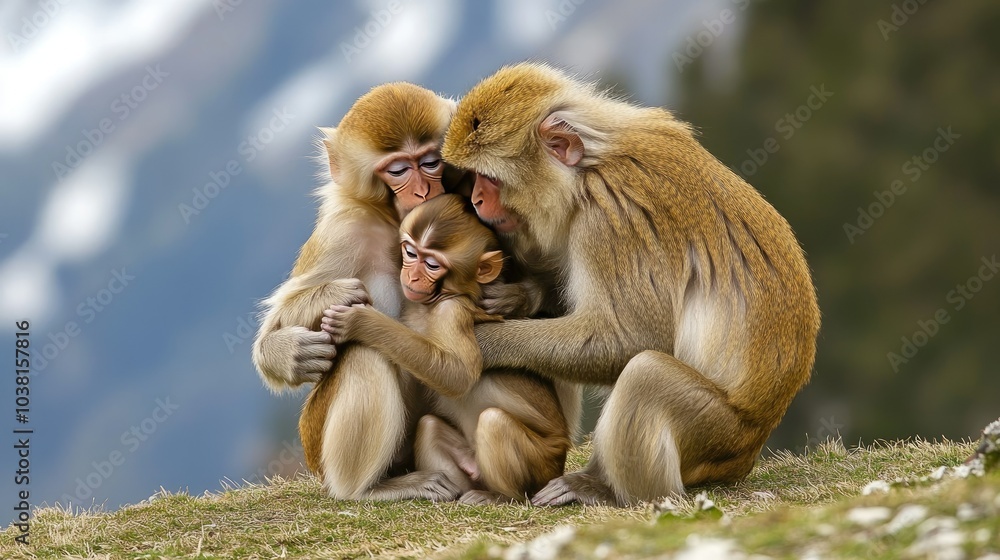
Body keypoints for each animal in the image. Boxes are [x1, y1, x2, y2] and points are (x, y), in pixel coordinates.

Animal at [253, 82, 466, 500]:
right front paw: (297, 348)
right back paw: (366, 490)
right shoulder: (343, 230)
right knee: (364, 353)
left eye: (430, 162)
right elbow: (273, 328)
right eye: (398, 170)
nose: (422, 191)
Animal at [320, 194, 571, 504]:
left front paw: (361, 322)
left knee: (494, 422)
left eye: (431, 264)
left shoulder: (452, 311)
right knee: (429, 427)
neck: (432, 304)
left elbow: (457, 375)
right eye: (411, 253)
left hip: (543, 463)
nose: (412, 277)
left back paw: (501, 497)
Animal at [440, 62, 821, 507]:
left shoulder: (611, 222)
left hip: (716, 436)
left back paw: (605, 489)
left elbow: (634, 338)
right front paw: (518, 297)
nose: (478, 201)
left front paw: (483, 344)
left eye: (489, 180)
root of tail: (751, 449)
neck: (586, 171)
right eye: (472, 180)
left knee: (645, 375)